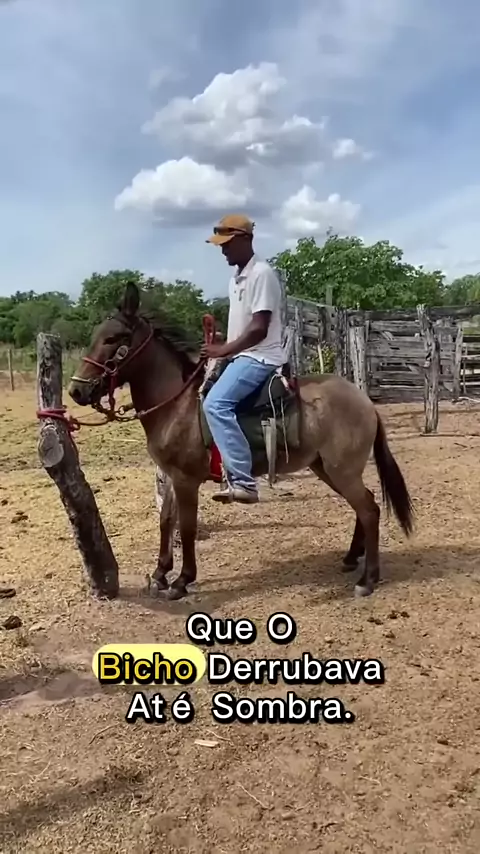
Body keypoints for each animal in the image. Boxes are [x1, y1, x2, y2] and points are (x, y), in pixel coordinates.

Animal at [68, 281, 414, 601]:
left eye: (112, 338)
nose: (76, 390)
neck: (176, 403)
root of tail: (364, 401)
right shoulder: (170, 475)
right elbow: (166, 521)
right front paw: (160, 574)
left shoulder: (186, 480)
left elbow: (187, 527)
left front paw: (182, 580)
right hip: (327, 468)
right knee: (364, 505)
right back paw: (352, 558)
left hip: (342, 470)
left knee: (369, 510)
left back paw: (368, 579)